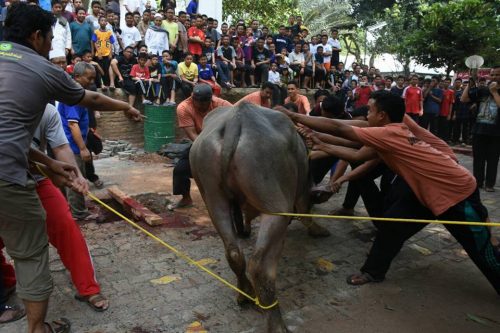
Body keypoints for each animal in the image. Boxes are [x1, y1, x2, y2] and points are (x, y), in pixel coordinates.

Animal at [189, 102, 326, 330]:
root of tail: (236, 120)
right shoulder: (301, 191)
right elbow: (305, 211)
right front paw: (318, 230)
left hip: (213, 198)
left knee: (234, 252)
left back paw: (244, 293)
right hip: (275, 206)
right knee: (260, 266)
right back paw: (276, 324)